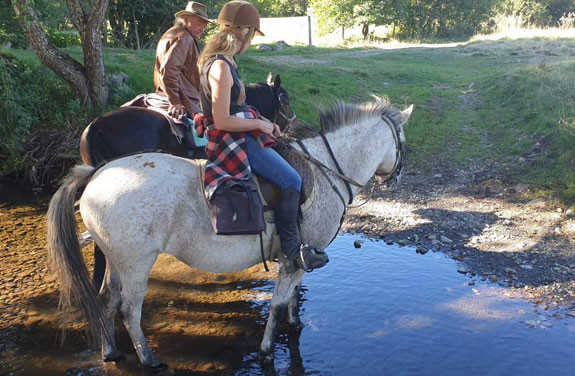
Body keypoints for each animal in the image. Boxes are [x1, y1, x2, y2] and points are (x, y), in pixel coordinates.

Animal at [47, 95, 412, 372]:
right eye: (403, 145)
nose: (396, 177)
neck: (326, 172)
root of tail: (96, 173)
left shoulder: (295, 257)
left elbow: (293, 298)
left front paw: (295, 324)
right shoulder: (295, 260)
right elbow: (278, 304)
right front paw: (266, 350)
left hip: (116, 260)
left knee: (107, 300)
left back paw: (110, 351)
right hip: (137, 263)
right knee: (129, 310)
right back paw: (149, 360)